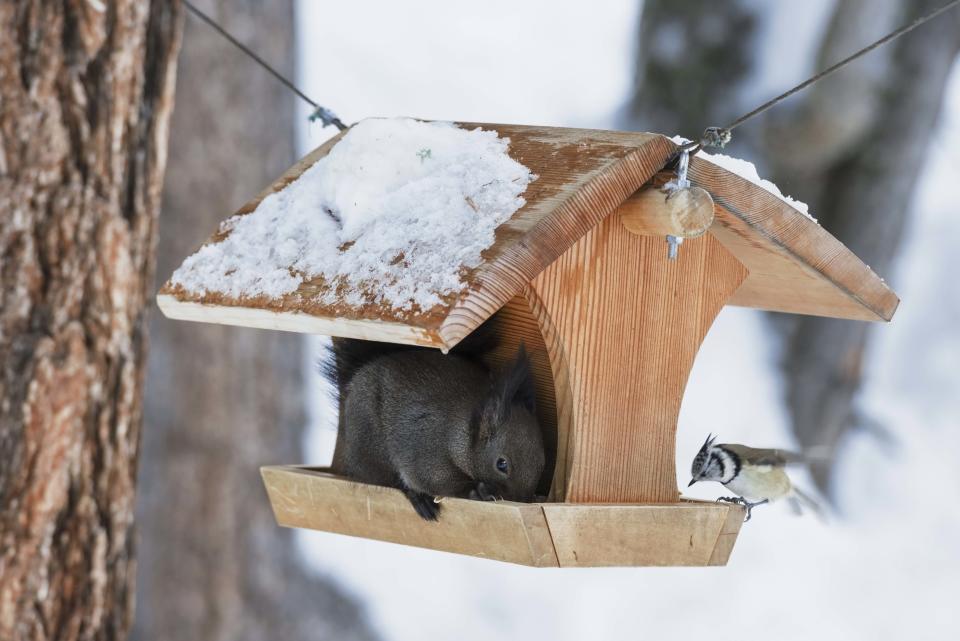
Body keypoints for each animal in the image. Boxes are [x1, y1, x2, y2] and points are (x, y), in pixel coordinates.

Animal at [324, 332, 544, 524]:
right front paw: (477, 490)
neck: (461, 433)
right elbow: (434, 480)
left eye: (541, 464)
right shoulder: (427, 451)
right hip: (371, 447)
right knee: (389, 481)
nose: (521, 499)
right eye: (501, 464)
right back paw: (420, 500)